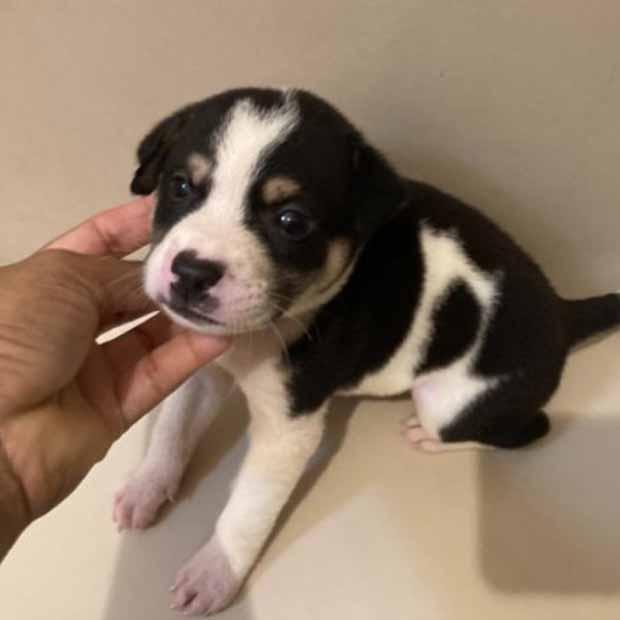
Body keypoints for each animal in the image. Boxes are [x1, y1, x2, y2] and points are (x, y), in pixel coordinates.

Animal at [113, 87, 620, 615]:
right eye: (180, 187)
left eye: (291, 222)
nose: (192, 273)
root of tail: (562, 312)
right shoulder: (204, 370)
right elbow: (172, 429)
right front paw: (148, 487)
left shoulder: (288, 431)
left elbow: (247, 509)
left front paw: (216, 571)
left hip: (449, 402)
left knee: (519, 430)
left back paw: (431, 437)